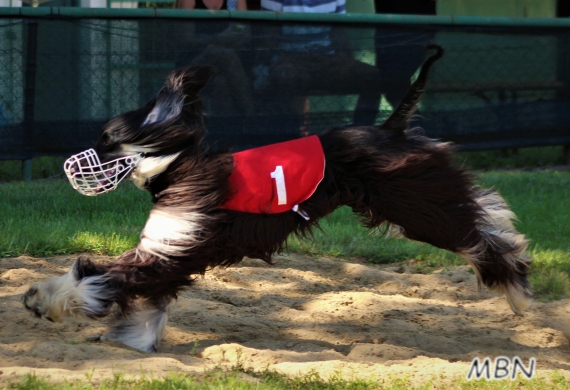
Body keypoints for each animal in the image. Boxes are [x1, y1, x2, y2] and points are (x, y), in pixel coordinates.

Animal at [21, 44, 528, 352]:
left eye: (106, 140)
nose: (70, 164)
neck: (177, 165)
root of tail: (391, 128)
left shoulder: (169, 248)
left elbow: (102, 275)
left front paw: (43, 299)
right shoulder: (172, 253)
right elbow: (143, 299)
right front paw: (135, 342)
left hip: (412, 198)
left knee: (477, 230)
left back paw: (517, 286)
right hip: (414, 193)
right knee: (481, 209)